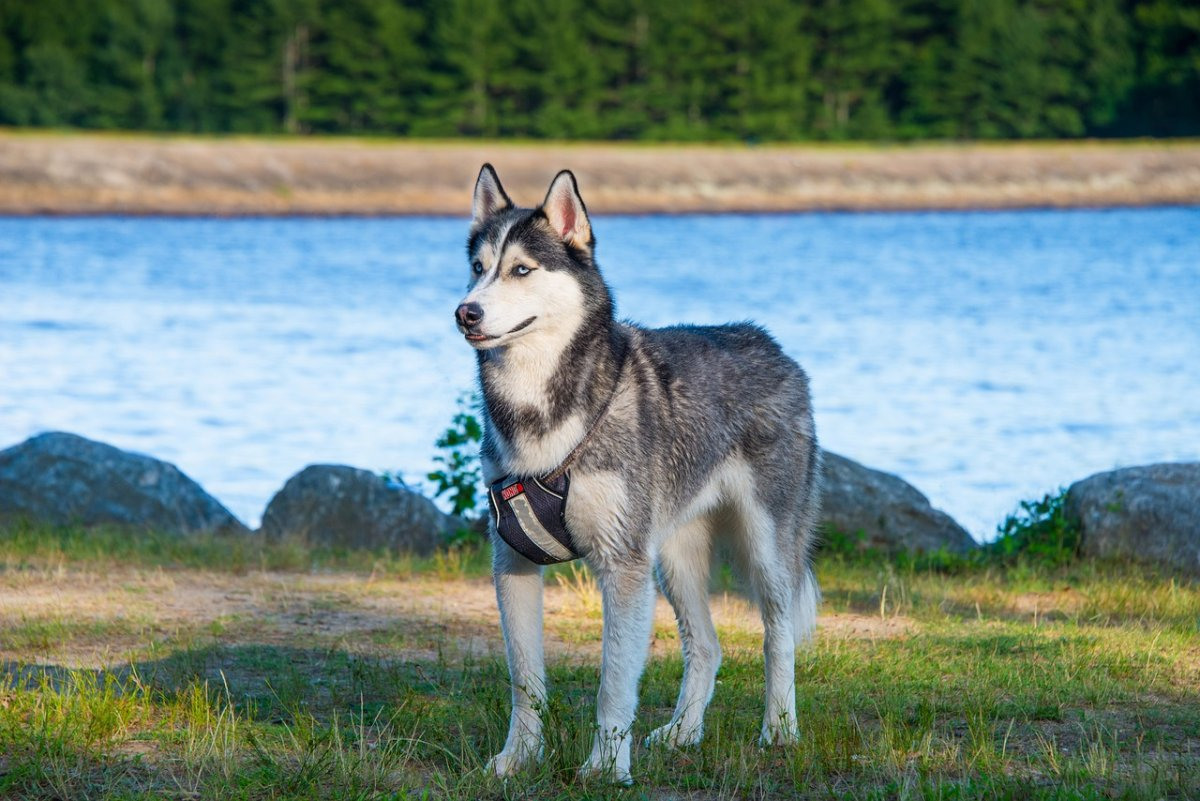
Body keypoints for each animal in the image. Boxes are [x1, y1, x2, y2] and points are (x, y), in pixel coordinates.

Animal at [453, 163, 820, 781]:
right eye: (477, 270)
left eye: (521, 269)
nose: (466, 312)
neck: (545, 414)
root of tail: (771, 345)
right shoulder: (513, 561)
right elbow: (524, 681)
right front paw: (516, 759)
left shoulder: (622, 566)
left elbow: (614, 684)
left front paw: (604, 769)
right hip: (672, 556)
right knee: (707, 645)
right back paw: (683, 732)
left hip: (766, 548)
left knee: (779, 636)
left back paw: (780, 730)